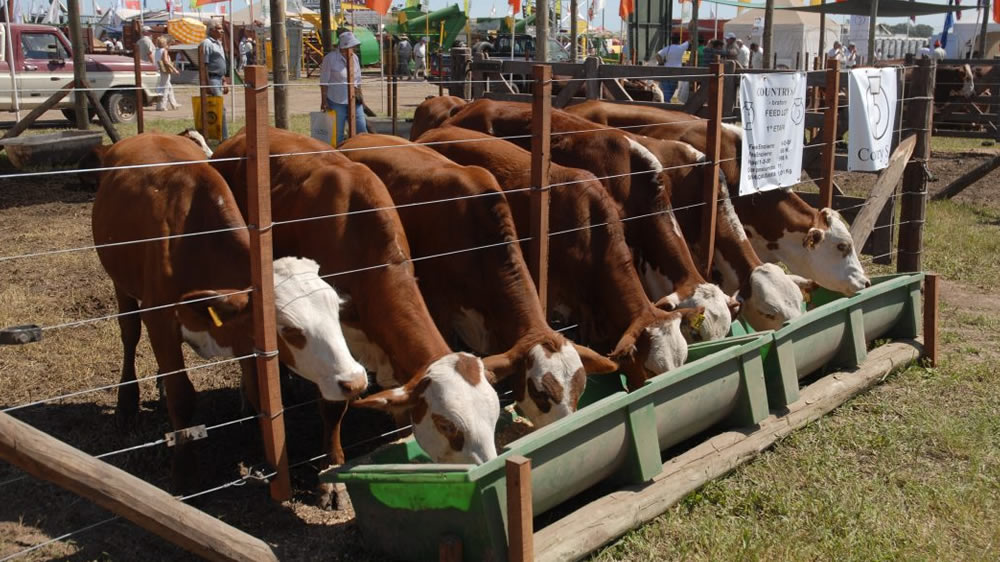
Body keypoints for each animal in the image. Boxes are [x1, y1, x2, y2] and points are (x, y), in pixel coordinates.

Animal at [93, 133, 368, 488]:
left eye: (336, 314)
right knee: (129, 334)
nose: (355, 382)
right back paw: (126, 404)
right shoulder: (161, 319)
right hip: (120, 283)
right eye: (289, 330)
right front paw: (184, 474)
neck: (196, 243)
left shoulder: (246, 332)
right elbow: (182, 395)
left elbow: (257, 391)